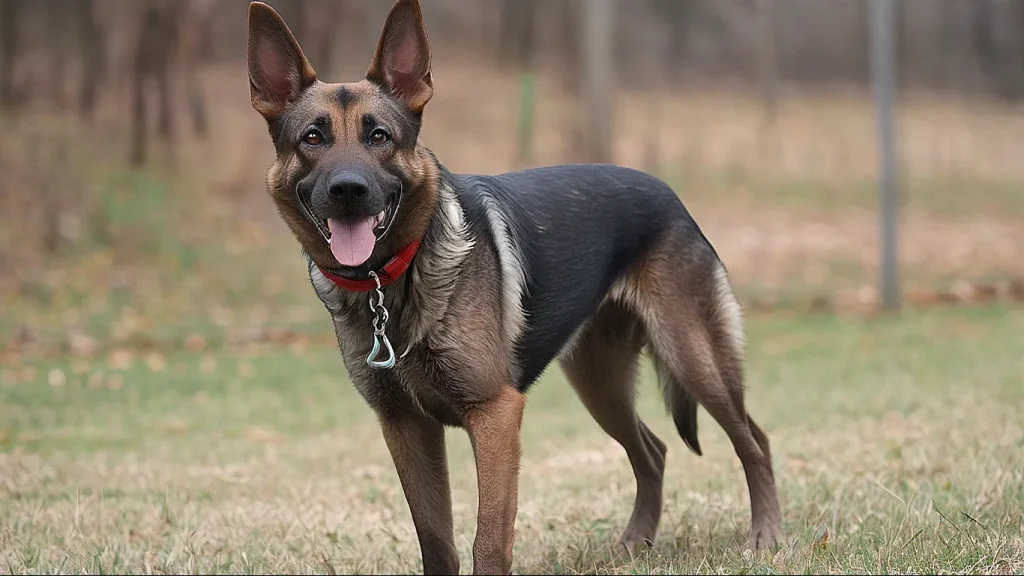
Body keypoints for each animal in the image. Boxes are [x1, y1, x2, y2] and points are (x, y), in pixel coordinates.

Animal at [247, 1, 782, 569]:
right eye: (312, 138)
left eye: (379, 137)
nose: (348, 190)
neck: (393, 280)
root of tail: (669, 193)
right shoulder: (406, 427)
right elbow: (434, 539)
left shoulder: (496, 415)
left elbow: (488, 538)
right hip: (600, 383)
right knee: (653, 451)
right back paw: (634, 544)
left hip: (693, 358)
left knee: (754, 440)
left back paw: (765, 537)